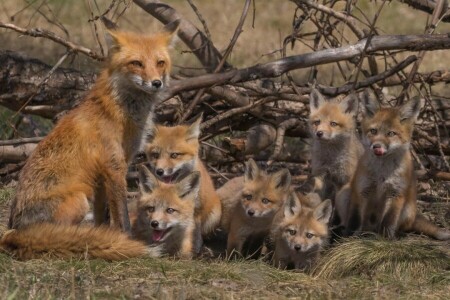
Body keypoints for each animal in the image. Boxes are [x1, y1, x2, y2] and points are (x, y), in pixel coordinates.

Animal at [7, 21, 179, 232]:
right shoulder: (114, 167)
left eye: (160, 62)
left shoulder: (106, 174)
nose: (156, 83)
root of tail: (14, 224)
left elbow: (102, 216)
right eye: (137, 63)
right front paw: (126, 236)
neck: (120, 112)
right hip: (79, 201)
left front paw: (104, 233)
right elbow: (121, 216)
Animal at [344, 95, 450, 240]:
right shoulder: (361, 190)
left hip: (407, 209)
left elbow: (389, 221)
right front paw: (349, 237)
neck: (381, 174)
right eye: (373, 131)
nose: (376, 146)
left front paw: (386, 240)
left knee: (402, 226)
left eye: (391, 133)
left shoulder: (396, 193)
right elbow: (355, 219)